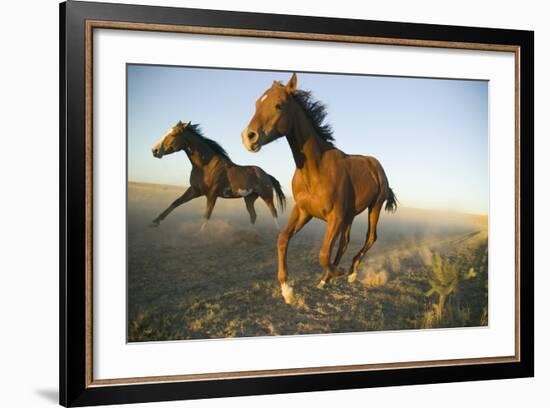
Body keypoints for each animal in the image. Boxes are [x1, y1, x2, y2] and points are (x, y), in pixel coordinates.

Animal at [152, 120, 286, 230]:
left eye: (174, 134)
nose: (154, 150)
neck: (205, 166)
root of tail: (266, 175)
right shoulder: (195, 190)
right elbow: (176, 202)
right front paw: (154, 222)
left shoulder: (212, 195)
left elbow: (207, 215)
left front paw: (200, 235)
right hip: (249, 198)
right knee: (253, 215)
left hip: (267, 196)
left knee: (273, 212)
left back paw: (278, 233)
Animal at [242, 73, 396, 302]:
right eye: (256, 104)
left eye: (279, 105)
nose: (248, 137)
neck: (316, 170)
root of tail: (376, 165)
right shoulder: (304, 211)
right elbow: (283, 239)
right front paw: (287, 290)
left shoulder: (335, 217)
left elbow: (324, 253)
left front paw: (338, 272)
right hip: (350, 215)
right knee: (344, 242)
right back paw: (327, 279)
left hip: (373, 207)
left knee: (370, 237)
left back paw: (350, 272)